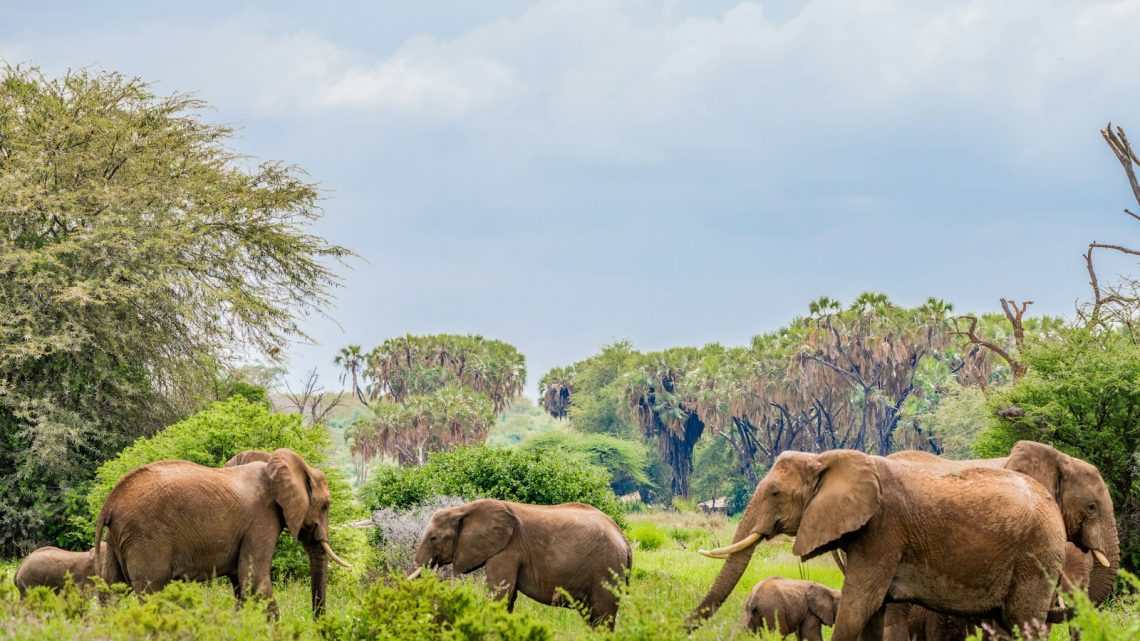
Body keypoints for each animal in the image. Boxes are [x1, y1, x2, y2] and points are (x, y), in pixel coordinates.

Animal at [94, 444, 346, 615]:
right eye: (325, 505)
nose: (317, 621)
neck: (273, 462)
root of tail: (110, 502)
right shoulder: (262, 519)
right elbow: (254, 580)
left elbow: (241, 583)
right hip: (146, 537)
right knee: (151, 592)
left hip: (118, 539)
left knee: (111, 591)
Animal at [408, 497, 633, 625]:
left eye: (433, 538)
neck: (463, 509)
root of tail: (624, 540)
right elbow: (508, 598)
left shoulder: (508, 549)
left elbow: (499, 595)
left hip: (606, 568)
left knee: (602, 617)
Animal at [684, 449, 1067, 638]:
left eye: (776, 493)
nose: (679, 627)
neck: (827, 459)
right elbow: (872, 612)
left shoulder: (884, 530)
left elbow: (859, 604)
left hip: (1036, 556)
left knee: (1026, 622)